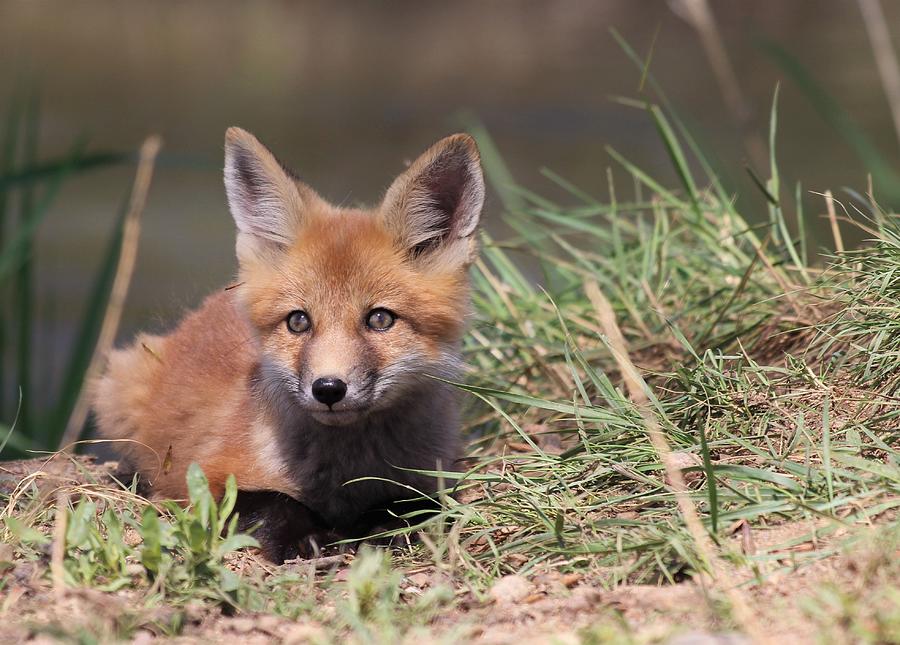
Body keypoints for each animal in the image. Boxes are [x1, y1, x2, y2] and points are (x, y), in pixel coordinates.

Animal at [93, 127, 486, 560]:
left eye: (380, 319)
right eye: (298, 321)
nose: (328, 388)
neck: (343, 473)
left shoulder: (435, 471)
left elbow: (414, 504)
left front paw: (384, 528)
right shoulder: (200, 474)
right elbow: (272, 501)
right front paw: (305, 537)